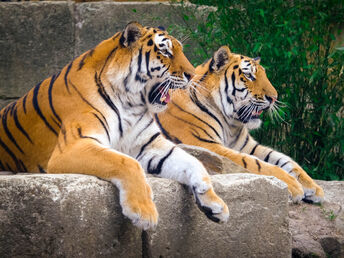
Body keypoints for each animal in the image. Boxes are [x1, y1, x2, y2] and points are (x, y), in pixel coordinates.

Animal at [0, 23, 231, 230]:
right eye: (165, 51)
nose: (192, 75)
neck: (131, 103)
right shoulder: (72, 147)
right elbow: (127, 162)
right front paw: (144, 212)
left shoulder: (150, 145)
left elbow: (193, 162)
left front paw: (214, 203)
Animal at [156, 45, 326, 204]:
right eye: (249, 75)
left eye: (264, 75)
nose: (274, 97)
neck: (230, 124)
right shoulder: (206, 145)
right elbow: (255, 163)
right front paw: (293, 184)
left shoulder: (248, 146)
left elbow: (285, 159)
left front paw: (313, 187)